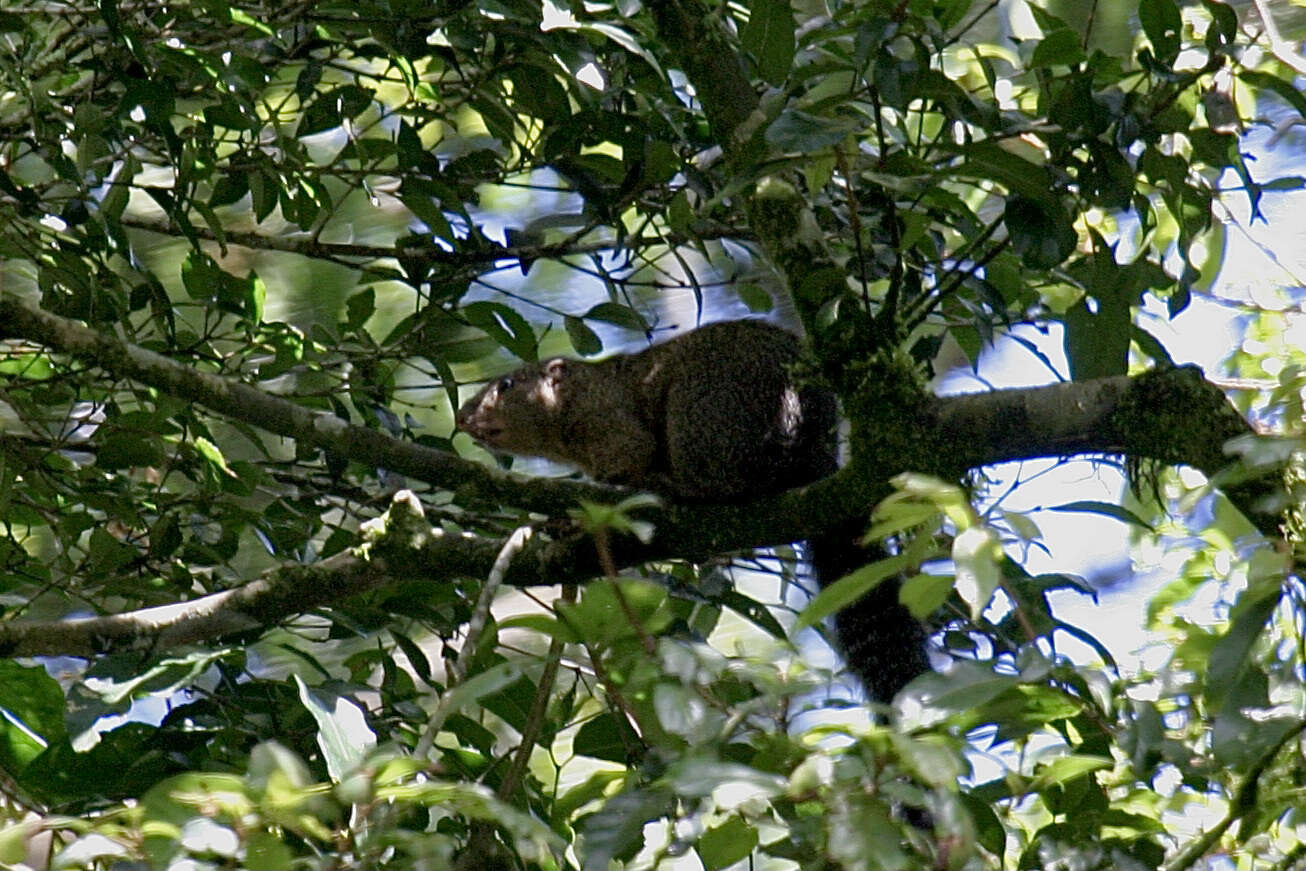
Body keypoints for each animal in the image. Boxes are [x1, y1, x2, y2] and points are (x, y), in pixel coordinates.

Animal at [459, 318, 929, 699]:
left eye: (505, 386)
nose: (463, 417)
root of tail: (814, 447)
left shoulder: (610, 424)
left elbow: (627, 462)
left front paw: (578, 518)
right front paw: (564, 524)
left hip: (704, 412)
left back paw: (675, 488)